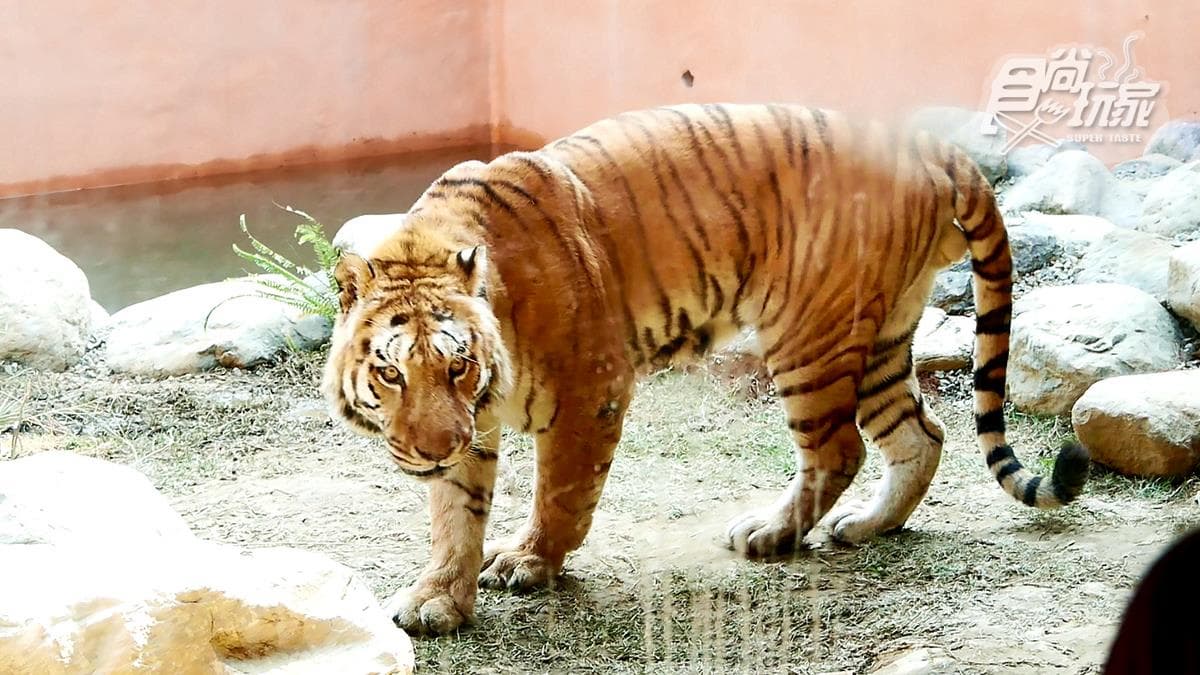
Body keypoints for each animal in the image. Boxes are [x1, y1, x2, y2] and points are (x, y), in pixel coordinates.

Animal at [323, 103, 1091, 635]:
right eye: (392, 374)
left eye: (457, 366)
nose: (432, 448)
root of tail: (927, 143)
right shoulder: (470, 429)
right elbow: (455, 514)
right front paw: (438, 599)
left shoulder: (590, 391)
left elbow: (560, 492)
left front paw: (529, 561)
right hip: (879, 336)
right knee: (921, 435)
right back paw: (869, 525)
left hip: (808, 334)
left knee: (838, 450)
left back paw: (771, 533)